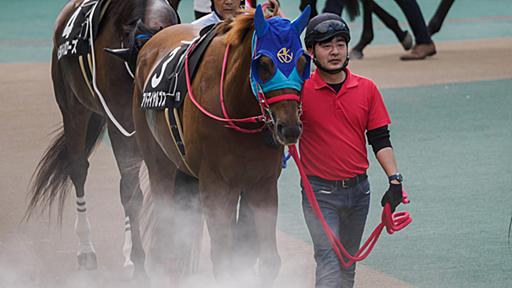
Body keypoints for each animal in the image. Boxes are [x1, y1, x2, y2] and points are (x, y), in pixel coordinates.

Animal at [27, 0, 180, 278]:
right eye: (139, 62)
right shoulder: (118, 122)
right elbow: (131, 193)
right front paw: (140, 263)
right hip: (73, 107)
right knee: (78, 168)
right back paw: (86, 250)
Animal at [132, 3, 310, 284]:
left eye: (303, 62)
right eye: (264, 64)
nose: (290, 127)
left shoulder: (263, 184)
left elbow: (269, 261)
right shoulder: (215, 186)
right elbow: (224, 261)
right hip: (159, 164)